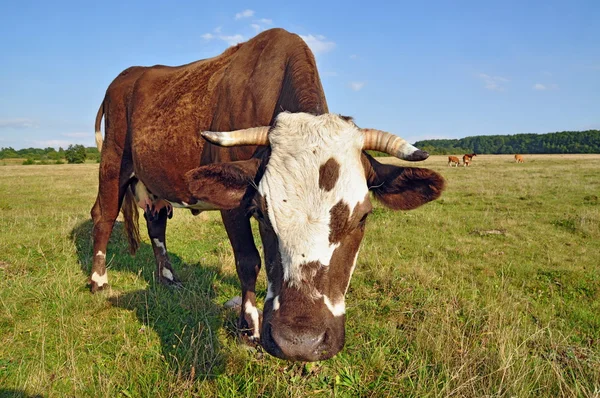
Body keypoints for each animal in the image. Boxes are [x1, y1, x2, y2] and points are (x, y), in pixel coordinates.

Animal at [90, 28, 446, 364]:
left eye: (363, 216)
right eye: (262, 212)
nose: (300, 343)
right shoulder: (234, 205)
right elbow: (248, 261)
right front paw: (249, 327)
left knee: (156, 223)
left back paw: (168, 278)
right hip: (113, 161)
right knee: (103, 215)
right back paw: (98, 280)